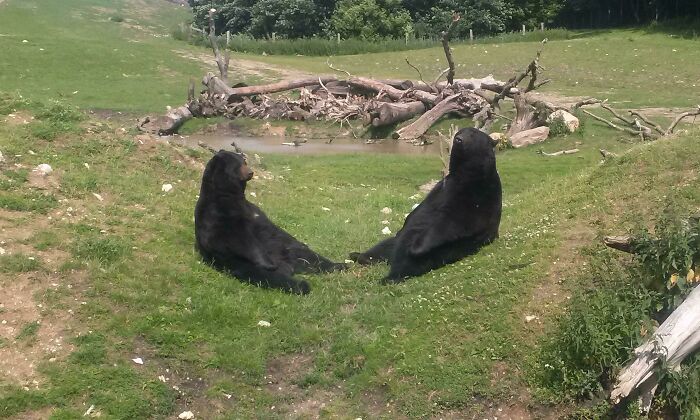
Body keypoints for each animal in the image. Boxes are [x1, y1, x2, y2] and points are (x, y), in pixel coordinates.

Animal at [195, 150, 345, 294]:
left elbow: (272, 229)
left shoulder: (254, 213)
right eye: (238, 165)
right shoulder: (218, 214)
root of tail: (291, 266)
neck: (230, 195)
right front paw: (268, 263)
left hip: (289, 252)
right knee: (269, 276)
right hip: (241, 264)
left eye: (244, 161)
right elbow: (236, 238)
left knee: (312, 258)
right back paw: (301, 284)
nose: (251, 172)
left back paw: (340, 265)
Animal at [349, 127, 502, 283]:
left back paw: (391, 276)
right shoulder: (442, 188)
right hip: (392, 244)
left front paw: (417, 247)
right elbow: (419, 210)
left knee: (410, 260)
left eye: (472, 134)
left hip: (447, 250)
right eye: (460, 132)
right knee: (384, 246)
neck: (465, 173)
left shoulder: (475, 193)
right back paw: (360, 256)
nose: (458, 139)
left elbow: (454, 221)